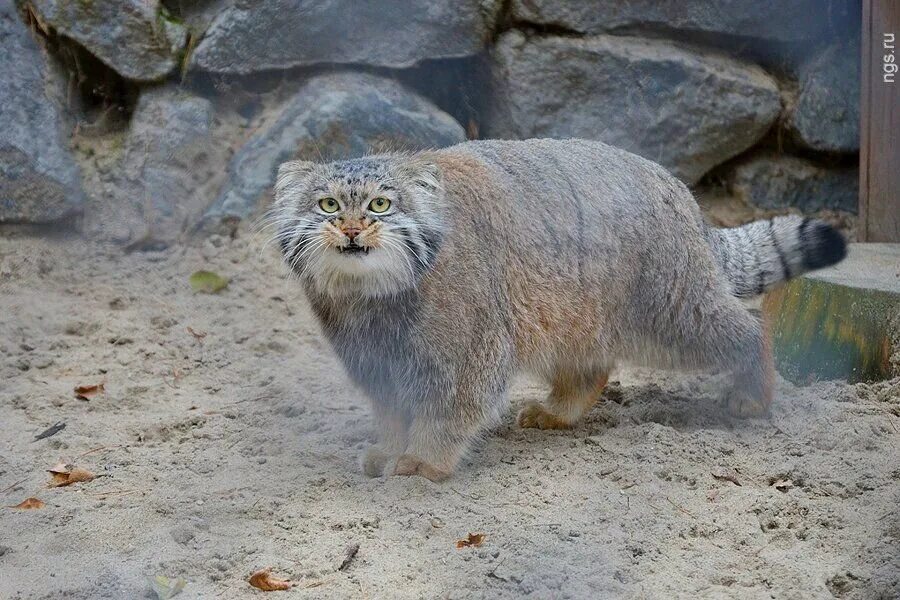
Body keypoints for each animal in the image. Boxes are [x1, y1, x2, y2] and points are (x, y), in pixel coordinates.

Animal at [268, 138, 844, 480]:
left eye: (380, 205)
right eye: (328, 205)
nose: (350, 230)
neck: (376, 299)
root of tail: (680, 190)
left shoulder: (471, 350)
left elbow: (449, 409)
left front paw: (423, 460)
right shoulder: (376, 360)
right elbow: (391, 411)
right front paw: (390, 448)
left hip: (674, 310)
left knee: (747, 325)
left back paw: (754, 392)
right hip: (568, 310)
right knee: (591, 368)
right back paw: (561, 409)